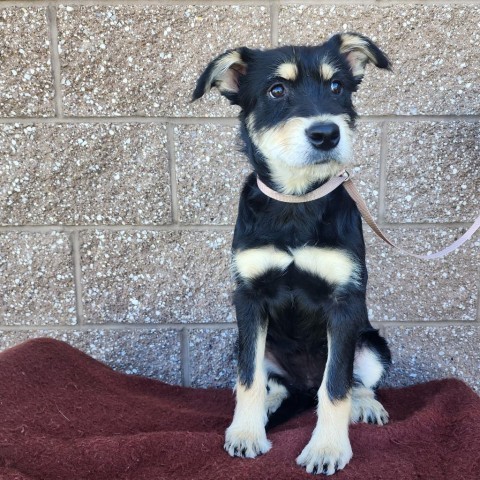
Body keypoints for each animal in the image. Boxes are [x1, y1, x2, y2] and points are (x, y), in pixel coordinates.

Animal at [192, 31, 394, 474]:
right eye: (277, 90)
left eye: (336, 87)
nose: (326, 134)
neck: (296, 201)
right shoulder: (249, 298)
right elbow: (247, 380)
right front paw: (246, 433)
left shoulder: (345, 303)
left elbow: (336, 385)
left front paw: (328, 448)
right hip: (249, 344)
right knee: (272, 384)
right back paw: (270, 406)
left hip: (372, 343)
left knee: (353, 382)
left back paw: (365, 405)